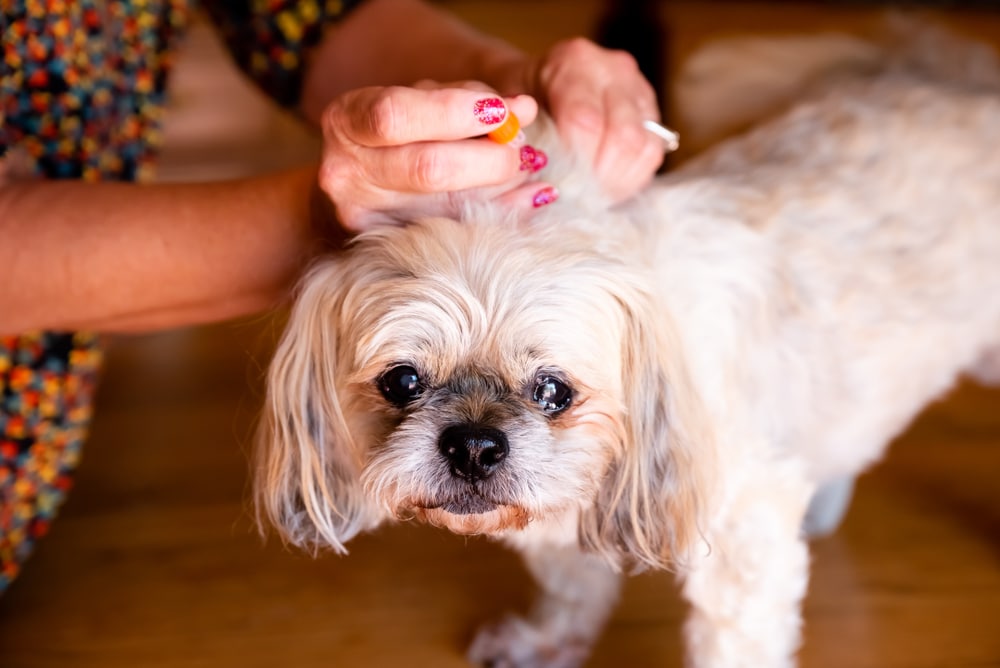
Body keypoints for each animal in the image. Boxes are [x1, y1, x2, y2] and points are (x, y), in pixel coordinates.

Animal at [252, 20, 1000, 668]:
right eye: (402, 382)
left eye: (555, 391)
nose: (473, 445)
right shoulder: (559, 510)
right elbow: (570, 581)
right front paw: (549, 641)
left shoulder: (743, 543)